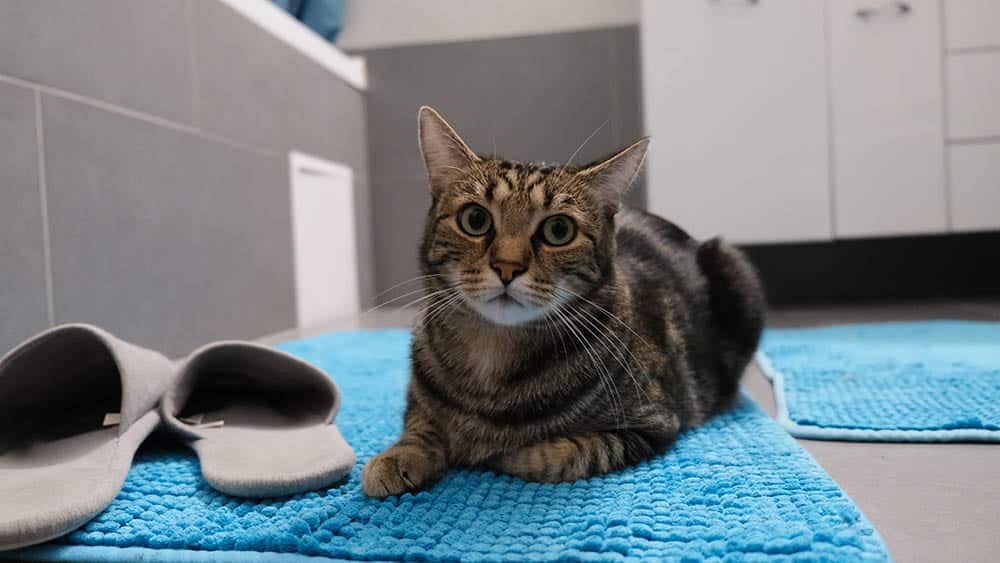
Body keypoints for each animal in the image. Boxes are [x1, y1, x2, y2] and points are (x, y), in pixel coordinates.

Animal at [364, 106, 760, 498]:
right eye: (475, 219)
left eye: (559, 230)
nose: (507, 266)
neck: (491, 354)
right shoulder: (418, 400)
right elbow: (419, 423)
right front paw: (399, 456)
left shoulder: (652, 423)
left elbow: (561, 454)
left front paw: (501, 452)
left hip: (735, 268)